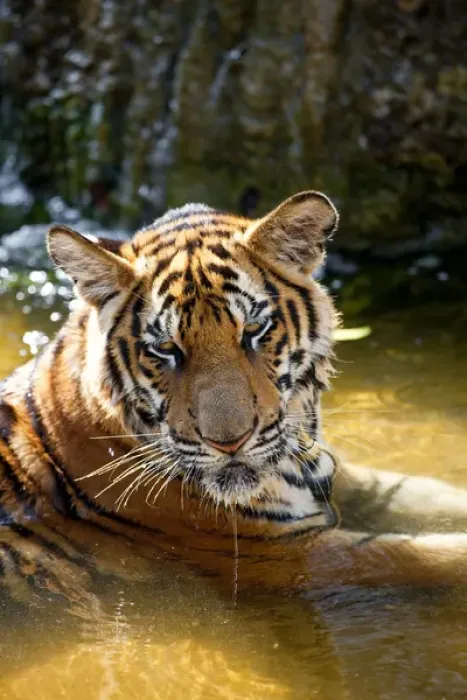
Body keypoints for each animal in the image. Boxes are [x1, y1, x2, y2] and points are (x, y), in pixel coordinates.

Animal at [1, 189, 467, 605]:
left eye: (255, 330)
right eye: (166, 349)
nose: (229, 443)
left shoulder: (339, 474)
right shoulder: (282, 554)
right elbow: (414, 556)